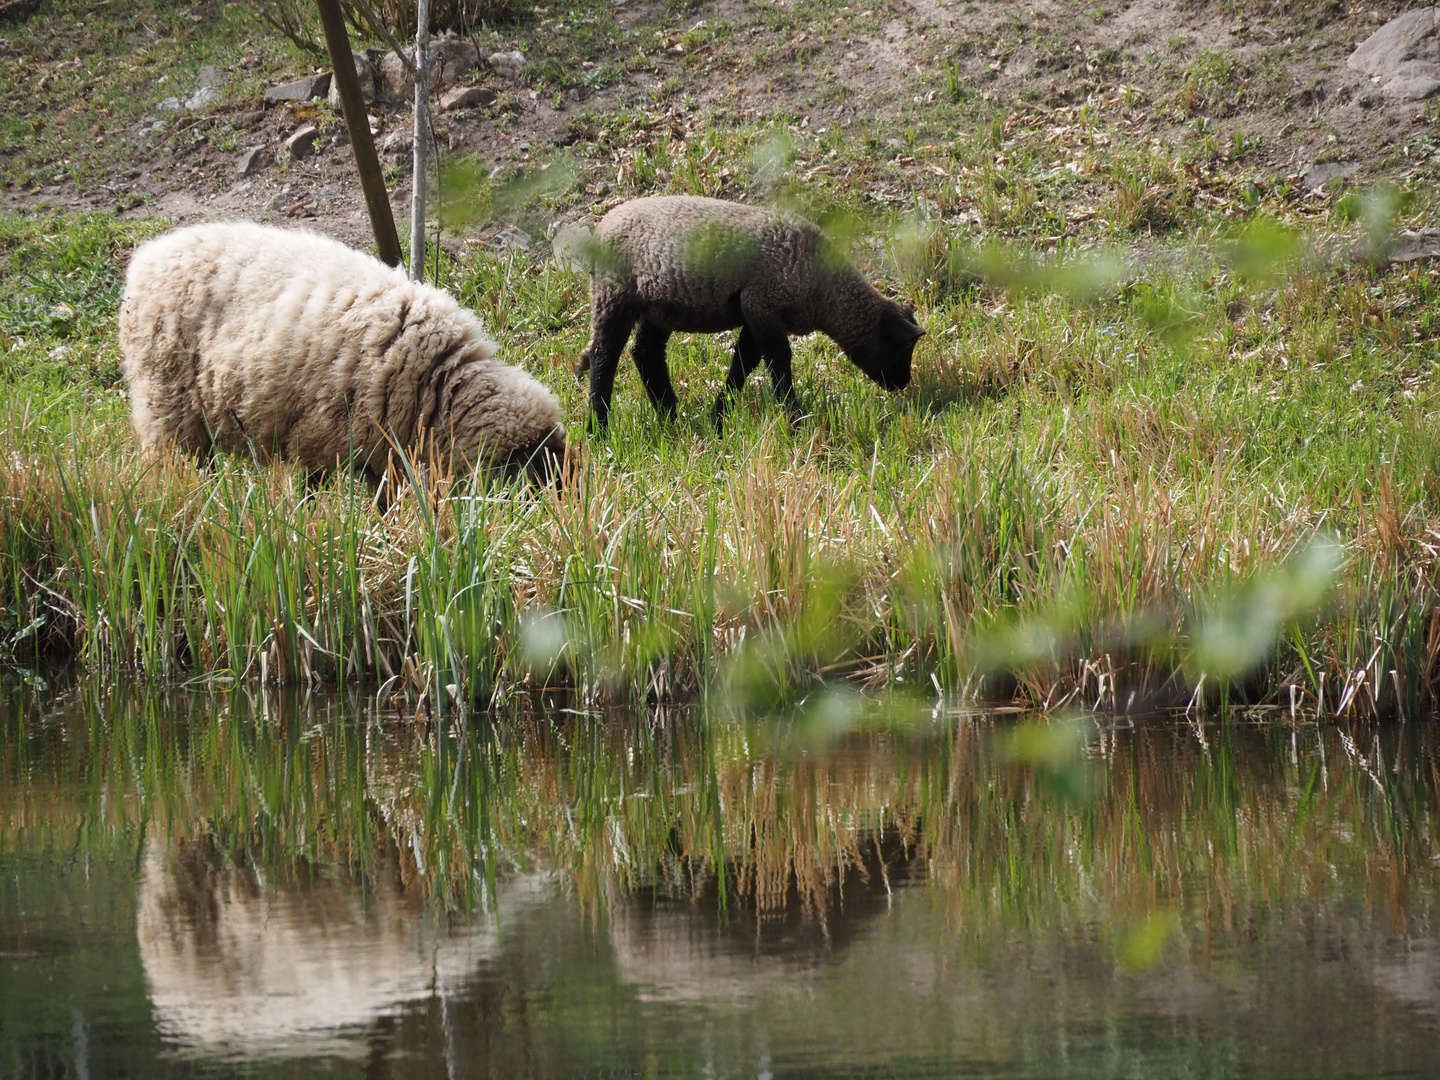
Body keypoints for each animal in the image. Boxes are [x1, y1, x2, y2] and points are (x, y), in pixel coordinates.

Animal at [119, 224, 567, 486]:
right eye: (536, 468)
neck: (440, 384)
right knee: (171, 460)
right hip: (167, 408)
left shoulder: (382, 451)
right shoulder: (317, 440)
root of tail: (148, 254)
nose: (559, 512)